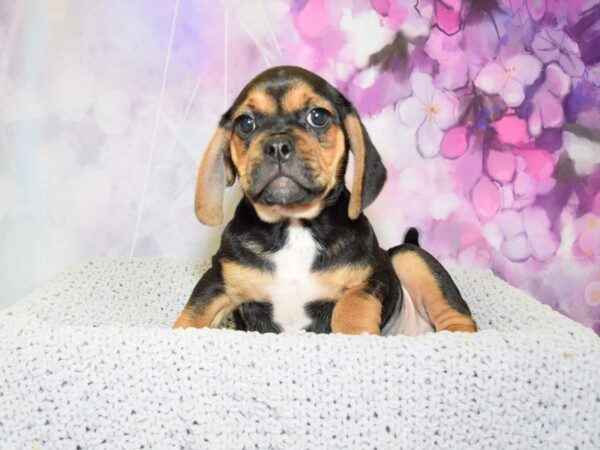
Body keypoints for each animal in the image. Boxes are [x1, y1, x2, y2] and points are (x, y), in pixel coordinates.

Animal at [175, 66, 478, 334]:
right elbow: (191, 316)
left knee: (458, 319)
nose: (277, 146)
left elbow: (351, 306)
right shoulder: (219, 280)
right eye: (245, 123)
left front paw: (353, 331)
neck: (294, 225)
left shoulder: (371, 278)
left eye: (318, 116)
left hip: (407, 256)